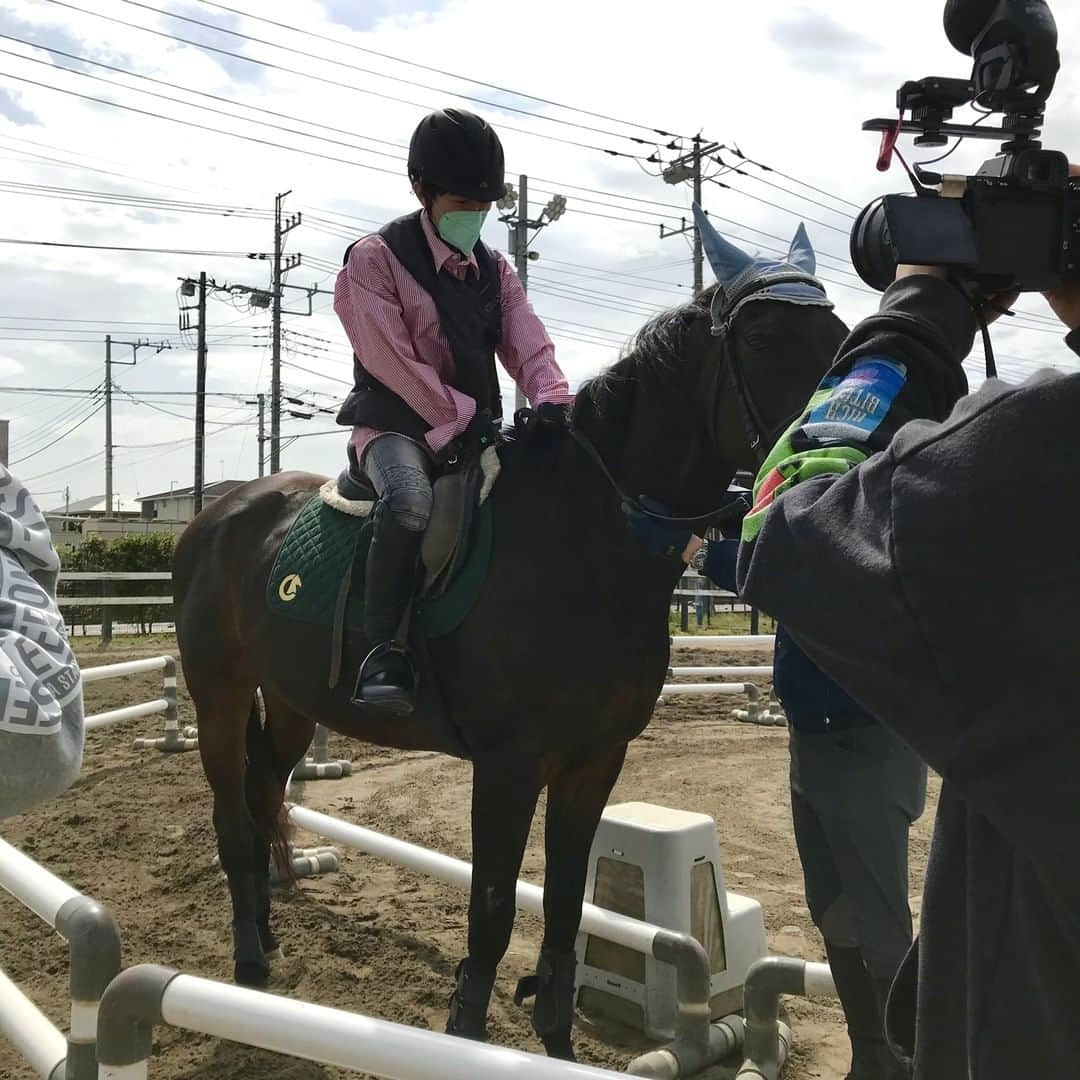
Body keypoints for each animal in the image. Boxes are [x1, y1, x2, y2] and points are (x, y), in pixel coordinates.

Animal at [172, 217, 846, 1054]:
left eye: (840, 334)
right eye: (760, 338)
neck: (582, 544)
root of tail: (216, 515)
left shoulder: (595, 760)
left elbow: (562, 906)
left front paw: (558, 1041)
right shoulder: (507, 766)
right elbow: (493, 909)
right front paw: (466, 1027)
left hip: (294, 701)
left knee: (267, 788)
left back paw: (265, 932)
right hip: (219, 697)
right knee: (233, 815)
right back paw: (248, 962)